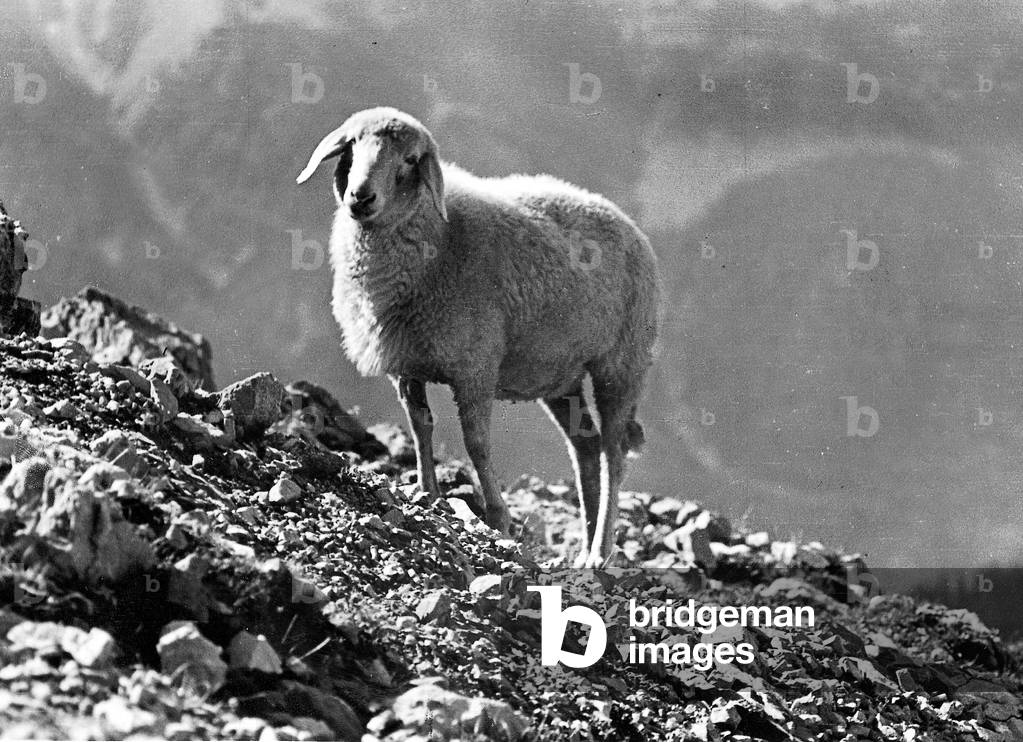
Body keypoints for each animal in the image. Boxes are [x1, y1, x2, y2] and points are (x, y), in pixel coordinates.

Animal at [296, 107, 658, 567]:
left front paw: (498, 518)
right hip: (562, 375)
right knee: (587, 447)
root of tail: (628, 224)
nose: (361, 197)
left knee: (614, 454)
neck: (439, 241)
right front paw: (427, 492)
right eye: (354, 144)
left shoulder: (476, 367)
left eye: (410, 160)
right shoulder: (407, 363)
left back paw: (600, 552)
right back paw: (583, 547)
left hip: (622, 363)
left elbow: (477, 444)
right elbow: (421, 426)